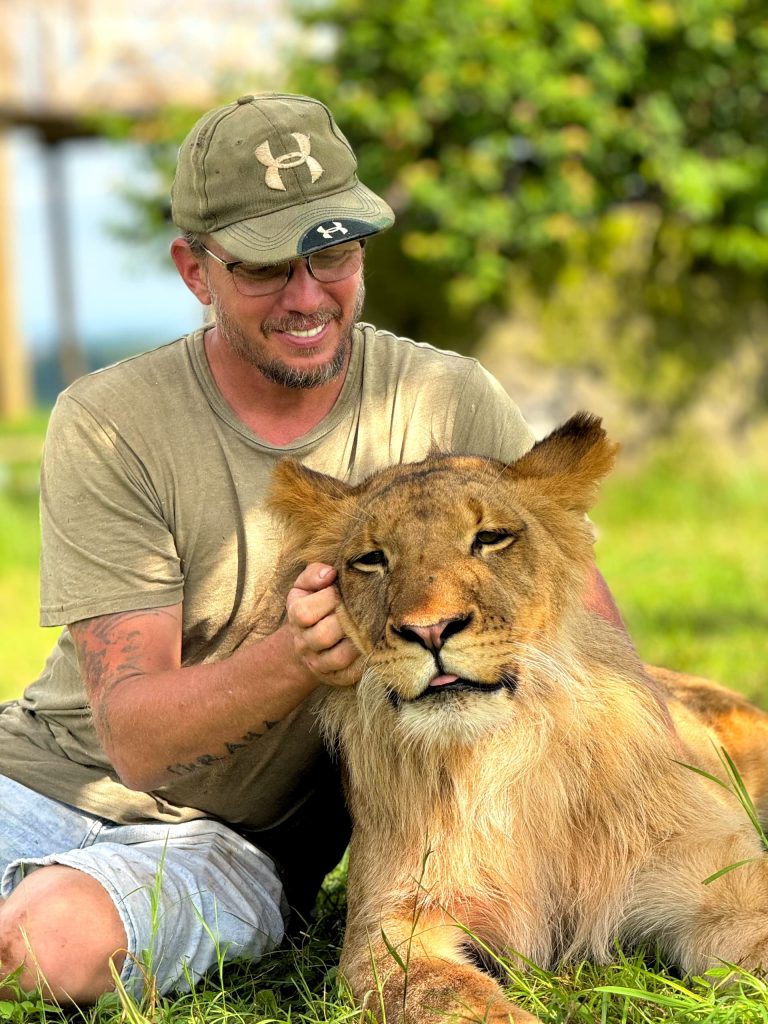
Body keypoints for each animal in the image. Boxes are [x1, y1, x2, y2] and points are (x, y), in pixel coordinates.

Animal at [268, 412, 768, 1024]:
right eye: (372, 559)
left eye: (489, 539)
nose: (430, 630)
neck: (501, 757)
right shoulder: (391, 927)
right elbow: (447, 995)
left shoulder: (724, 890)